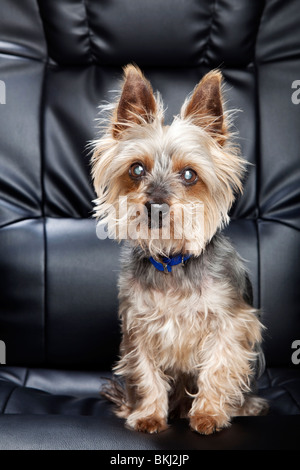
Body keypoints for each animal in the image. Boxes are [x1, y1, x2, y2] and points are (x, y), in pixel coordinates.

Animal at [91, 64, 268, 436]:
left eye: (189, 174)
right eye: (136, 169)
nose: (156, 205)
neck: (172, 260)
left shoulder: (230, 323)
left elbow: (218, 366)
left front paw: (209, 415)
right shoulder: (138, 326)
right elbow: (146, 373)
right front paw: (148, 416)